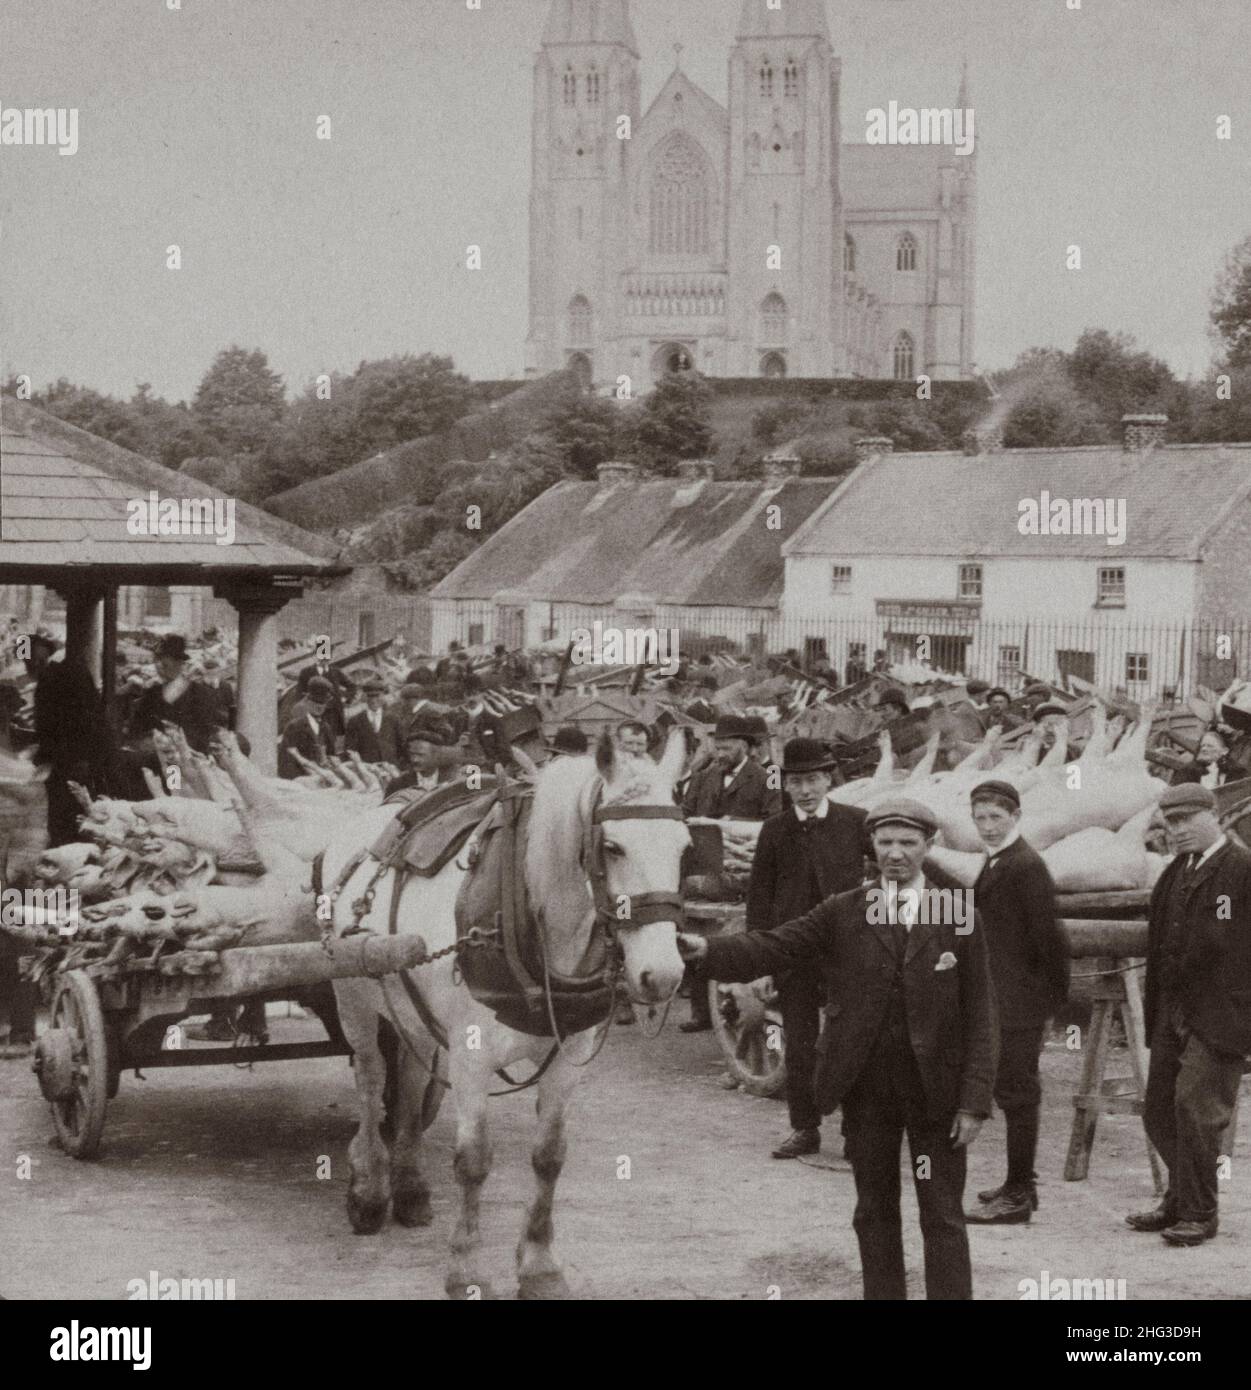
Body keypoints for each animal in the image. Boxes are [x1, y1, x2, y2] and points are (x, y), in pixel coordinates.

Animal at [318, 733, 689, 1295]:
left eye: (685, 846)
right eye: (613, 847)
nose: (663, 975)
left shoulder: (567, 1058)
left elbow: (549, 1157)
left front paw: (539, 1264)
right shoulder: (471, 1058)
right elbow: (473, 1163)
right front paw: (465, 1269)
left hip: (411, 1008)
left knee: (409, 1082)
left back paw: (410, 1187)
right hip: (354, 1000)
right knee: (370, 1080)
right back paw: (369, 1190)